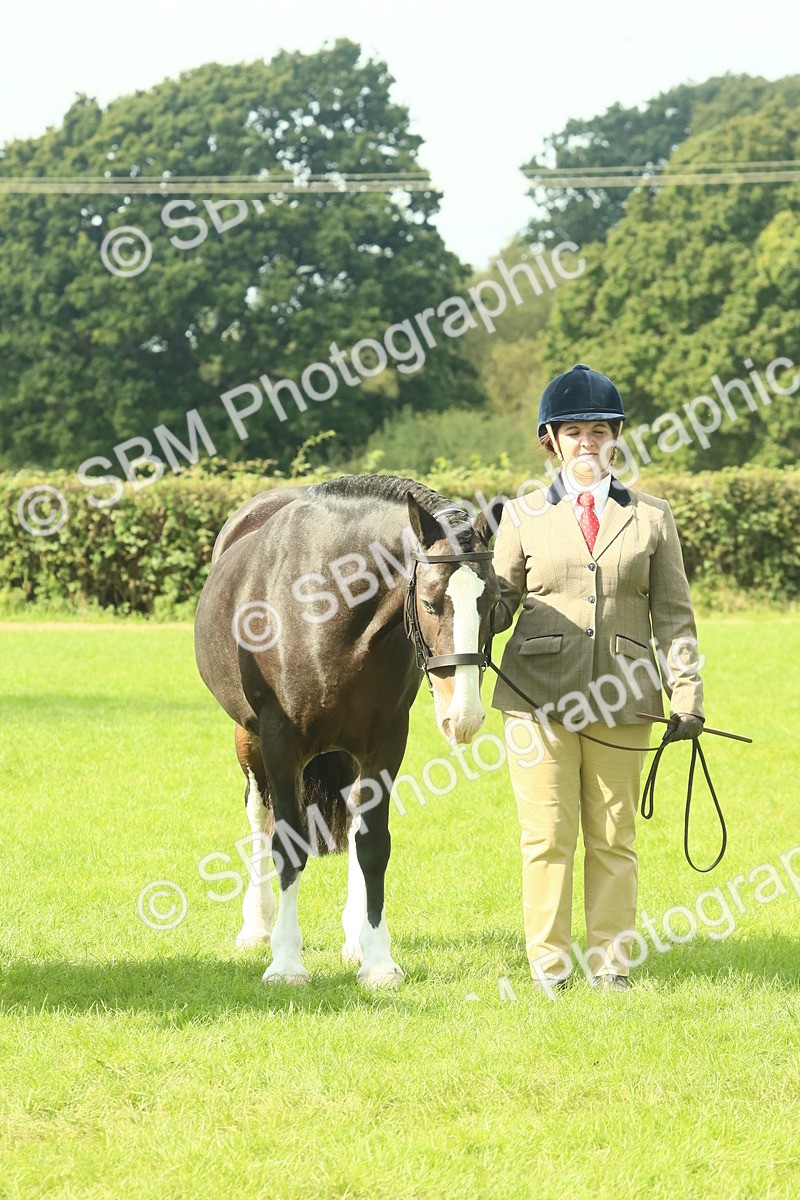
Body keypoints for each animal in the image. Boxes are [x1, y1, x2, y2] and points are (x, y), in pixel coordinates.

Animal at [194, 474, 499, 987]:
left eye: (494, 603)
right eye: (430, 602)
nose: (465, 715)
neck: (323, 607)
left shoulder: (385, 743)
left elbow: (373, 847)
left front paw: (378, 960)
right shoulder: (280, 743)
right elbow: (286, 845)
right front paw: (286, 961)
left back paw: (355, 937)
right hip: (248, 739)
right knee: (259, 815)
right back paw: (256, 926)